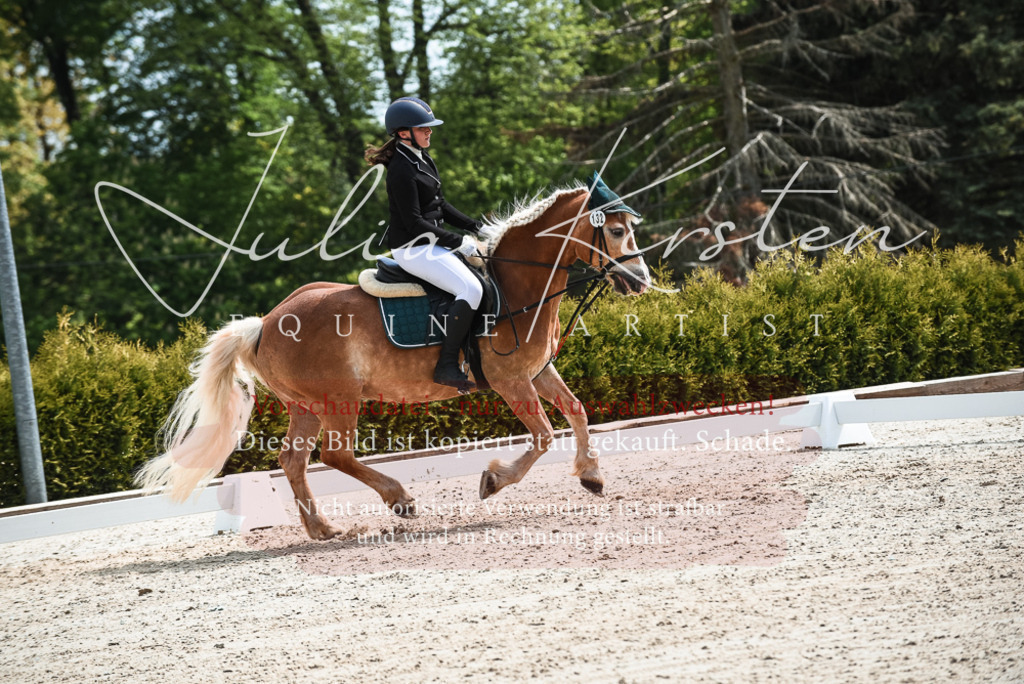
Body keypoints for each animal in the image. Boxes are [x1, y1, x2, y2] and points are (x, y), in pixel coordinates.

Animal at [136, 182, 652, 540]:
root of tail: (265, 322)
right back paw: (399, 500)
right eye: (616, 231)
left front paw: (592, 475)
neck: (516, 284)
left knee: (293, 460)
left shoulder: (537, 373)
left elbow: (577, 411)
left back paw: (323, 529)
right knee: (335, 454)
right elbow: (544, 435)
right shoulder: (511, 380)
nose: (642, 281)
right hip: (338, 399)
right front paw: (493, 480)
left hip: (305, 406)